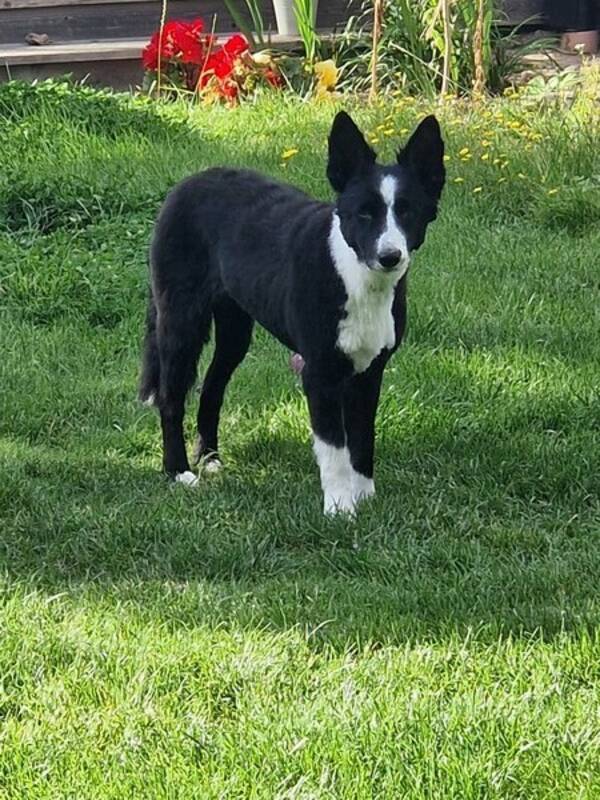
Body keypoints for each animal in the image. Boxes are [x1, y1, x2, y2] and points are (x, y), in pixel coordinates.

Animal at [138, 111, 442, 512]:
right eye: (363, 214)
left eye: (408, 212)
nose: (390, 256)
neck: (355, 277)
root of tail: (186, 185)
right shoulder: (319, 373)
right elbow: (334, 448)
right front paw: (340, 509)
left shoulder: (369, 372)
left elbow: (363, 438)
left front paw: (365, 497)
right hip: (181, 321)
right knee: (170, 397)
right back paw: (179, 471)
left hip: (235, 328)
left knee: (212, 386)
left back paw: (210, 459)